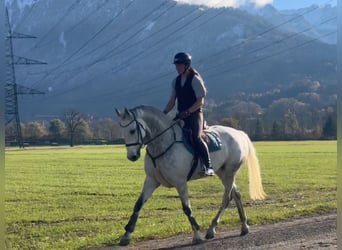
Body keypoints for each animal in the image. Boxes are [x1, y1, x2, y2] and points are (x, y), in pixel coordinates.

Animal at [116, 105, 266, 246]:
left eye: (132, 130)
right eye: (122, 132)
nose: (132, 156)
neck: (163, 143)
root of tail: (238, 133)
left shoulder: (180, 182)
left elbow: (187, 208)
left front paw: (197, 235)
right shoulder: (151, 181)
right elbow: (138, 205)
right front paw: (126, 236)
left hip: (229, 172)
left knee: (227, 198)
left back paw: (212, 229)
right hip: (222, 172)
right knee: (236, 194)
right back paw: (244, 226)